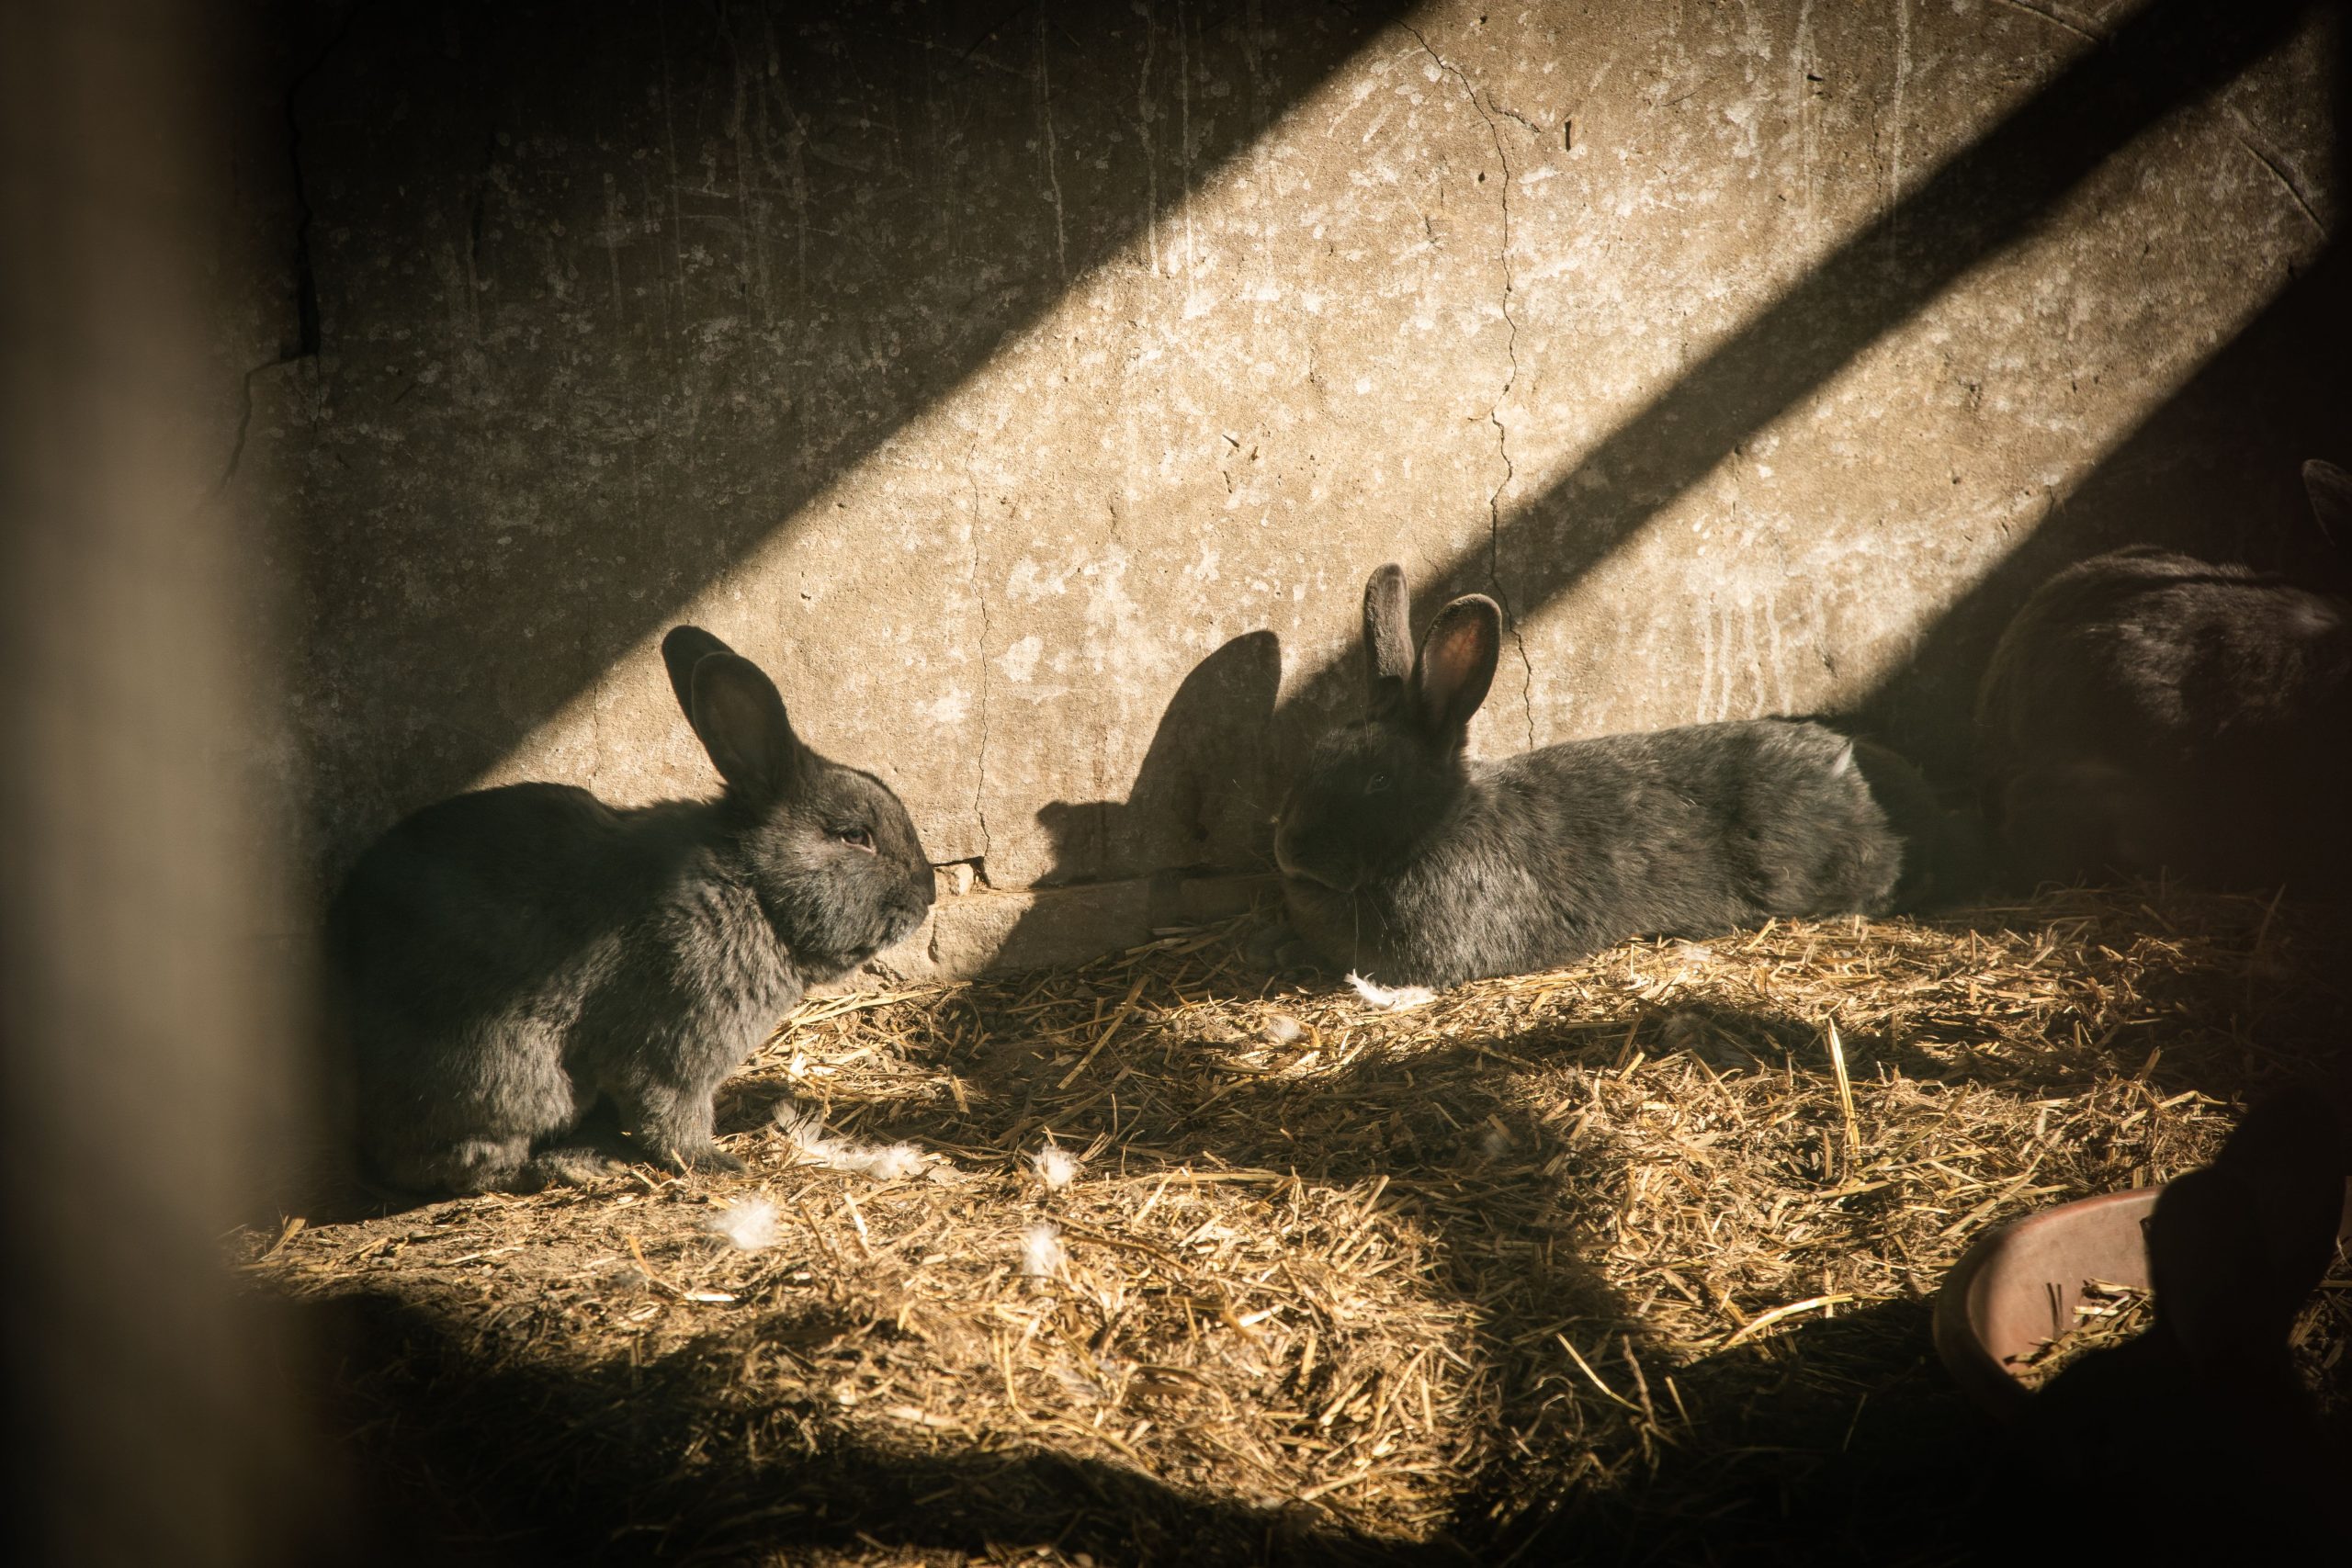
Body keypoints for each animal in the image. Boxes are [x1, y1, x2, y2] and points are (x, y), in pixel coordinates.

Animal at [334, 625, 935, 1189]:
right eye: (855, 836)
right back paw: (573, 1165)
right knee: (468, 1163)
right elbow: (668, 1117)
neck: (753, 887)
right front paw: (717, 1163)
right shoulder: (675, 1045)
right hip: (513, 1079)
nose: (928, 892)